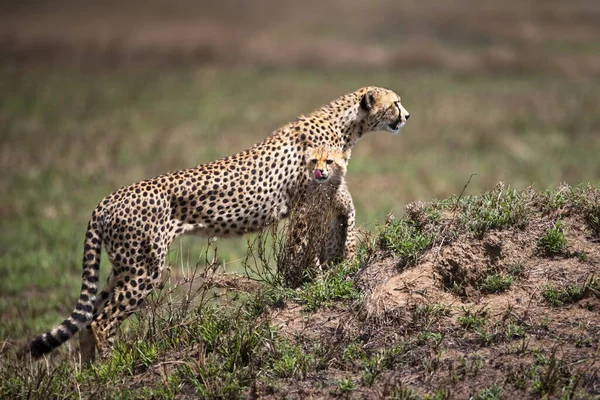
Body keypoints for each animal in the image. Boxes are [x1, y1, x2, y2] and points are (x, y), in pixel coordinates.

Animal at [27, 86, 408, 360]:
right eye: (396, 102)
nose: (406, 115)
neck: (345, 125)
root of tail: (105, 200)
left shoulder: (329, 190)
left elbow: (343, 217)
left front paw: (341, 260)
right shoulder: (305, 203)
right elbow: (304, 245)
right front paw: (306, 280)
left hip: (124, 265)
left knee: (91, 316)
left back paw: (88, 374)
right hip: (144, 267)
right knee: (103, 321)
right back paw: (109, 364)